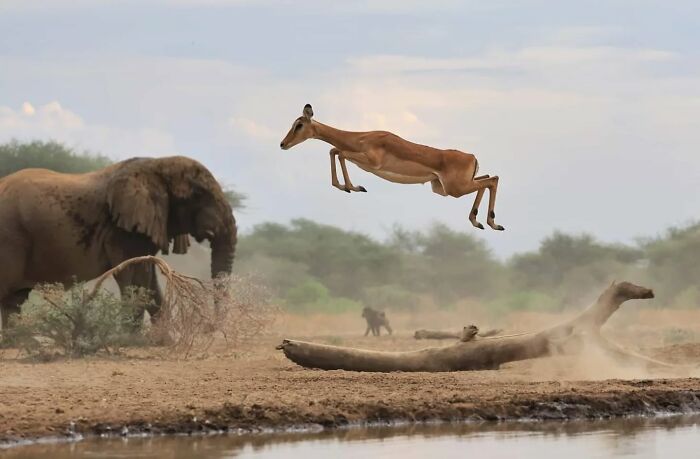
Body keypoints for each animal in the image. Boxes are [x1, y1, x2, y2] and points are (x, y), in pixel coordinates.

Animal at [0, 156, 237, 328]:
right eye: (198, 195)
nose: (209, 328)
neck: (157, 164)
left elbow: (149, 281)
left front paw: (163, 341)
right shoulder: (123, 232)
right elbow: (135, 279)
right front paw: (131, 340)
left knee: (14, 299)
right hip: (10, 237)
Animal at [280, 104, 504, 231]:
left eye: (299, 125)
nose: (283, 144)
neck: (361, 138)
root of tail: (472, 157)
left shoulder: (371, 162)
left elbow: (338, 152)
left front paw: (352, 187)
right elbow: (334, 150)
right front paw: (349, 187)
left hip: (454, 189)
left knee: (492, 180)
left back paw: (492, 223)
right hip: (443, 188)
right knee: (489, 178)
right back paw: (480, 222)